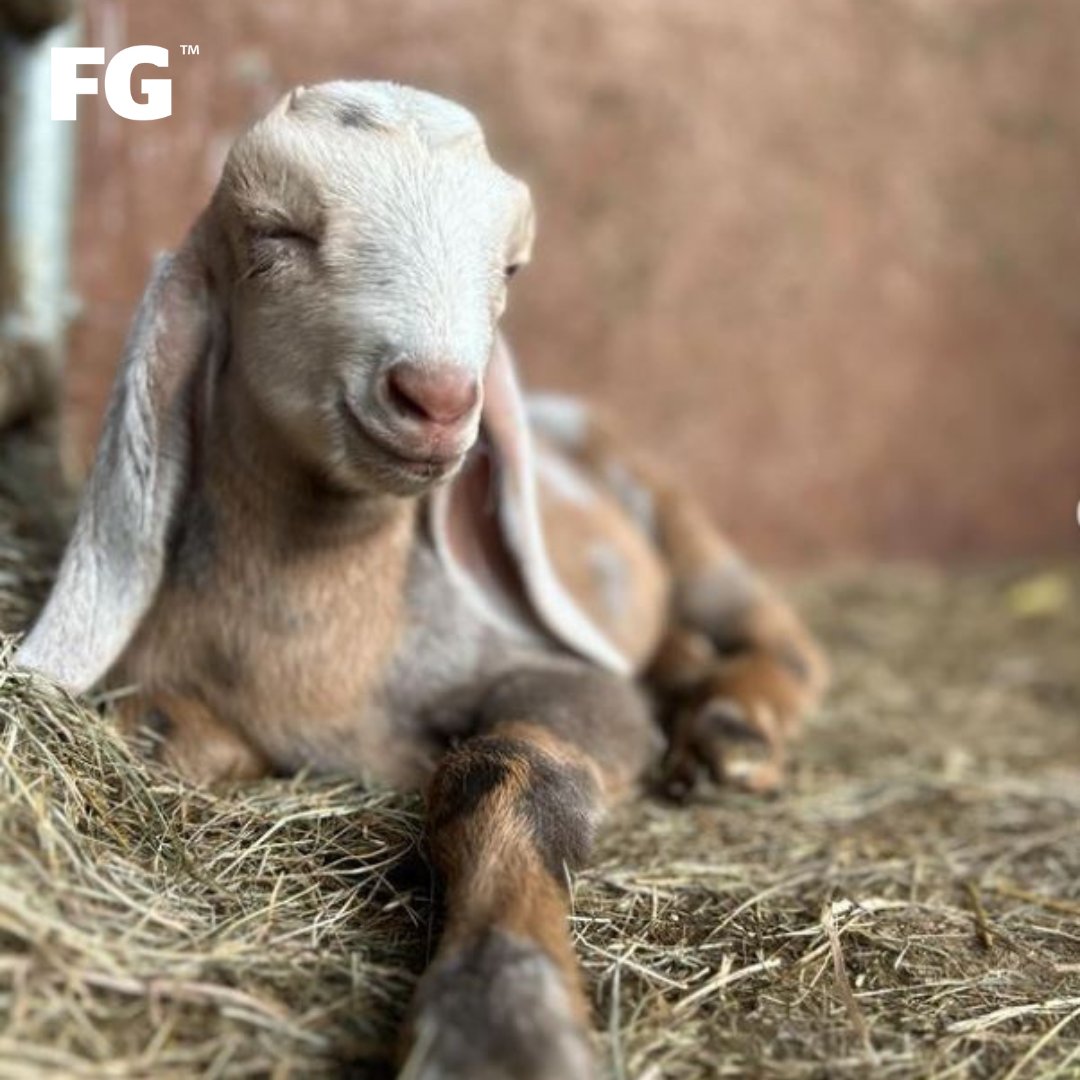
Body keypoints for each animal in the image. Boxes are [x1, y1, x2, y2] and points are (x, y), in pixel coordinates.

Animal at [17, 82, 828, 1079]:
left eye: (510, 269)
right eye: (277, 232)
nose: (439, 398)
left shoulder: (558, 674)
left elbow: (510, 765)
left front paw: (502, 1017)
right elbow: (159, 729)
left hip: (678, 512)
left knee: (776, 632)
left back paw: (735, 728)